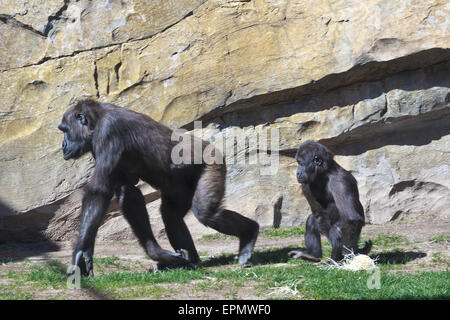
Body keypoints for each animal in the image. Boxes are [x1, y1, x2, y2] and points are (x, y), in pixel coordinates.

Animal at [58, 99, 258, 276]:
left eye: (65, 130)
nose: (63, 145)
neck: (96, 120)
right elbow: (128, 192)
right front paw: (156, 252)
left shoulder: (109, 131)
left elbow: (98, 192)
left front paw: (80, 254)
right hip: (179, 188)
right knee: (171, 215)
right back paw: (190, 261)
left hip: (213, 163)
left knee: (206, 213)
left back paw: (249, 234)